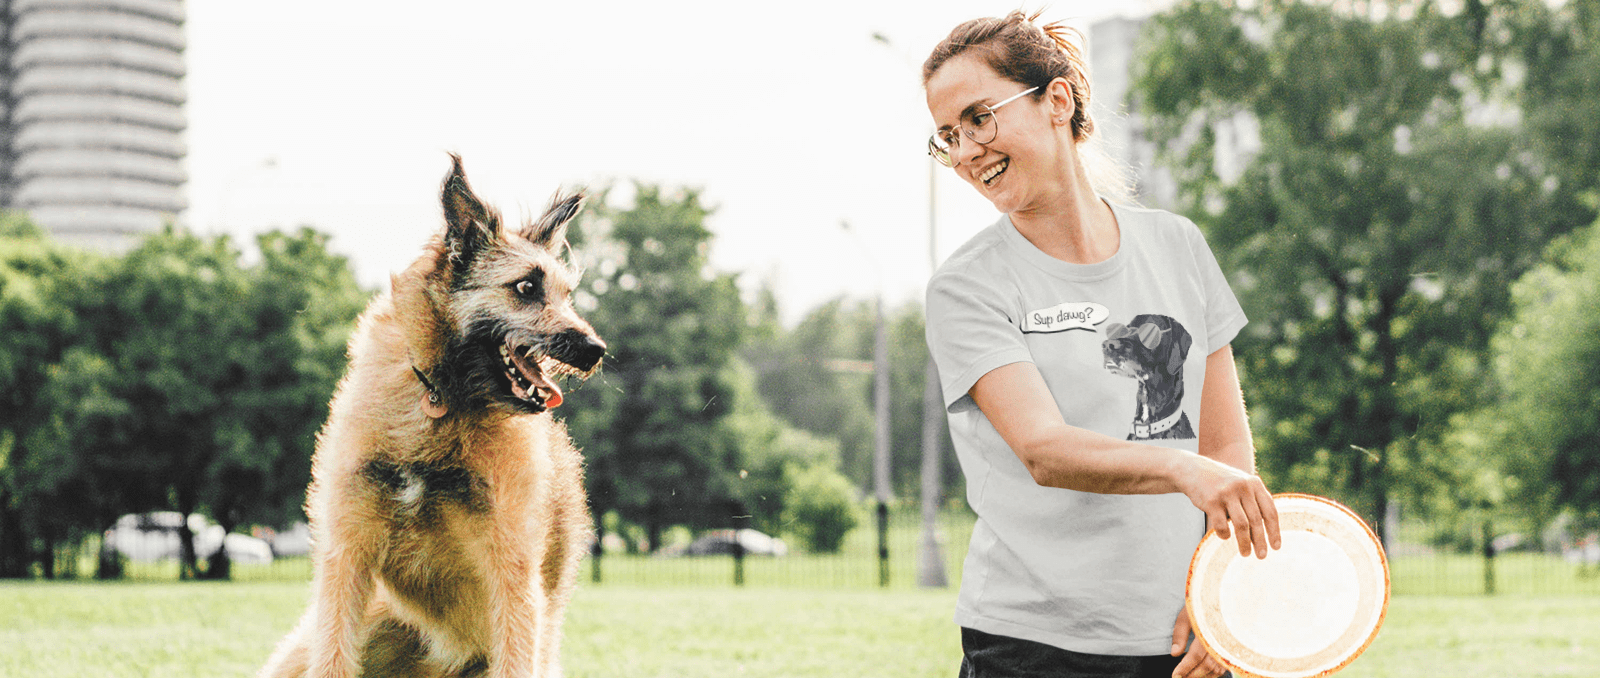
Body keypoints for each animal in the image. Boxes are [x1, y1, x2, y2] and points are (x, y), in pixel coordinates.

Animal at [259, 155, 608, 678]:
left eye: (568, 294)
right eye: (526, 286)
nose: (595, 350)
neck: (443, 399)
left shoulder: (512, 570)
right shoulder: (347, 555)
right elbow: (333, 654)